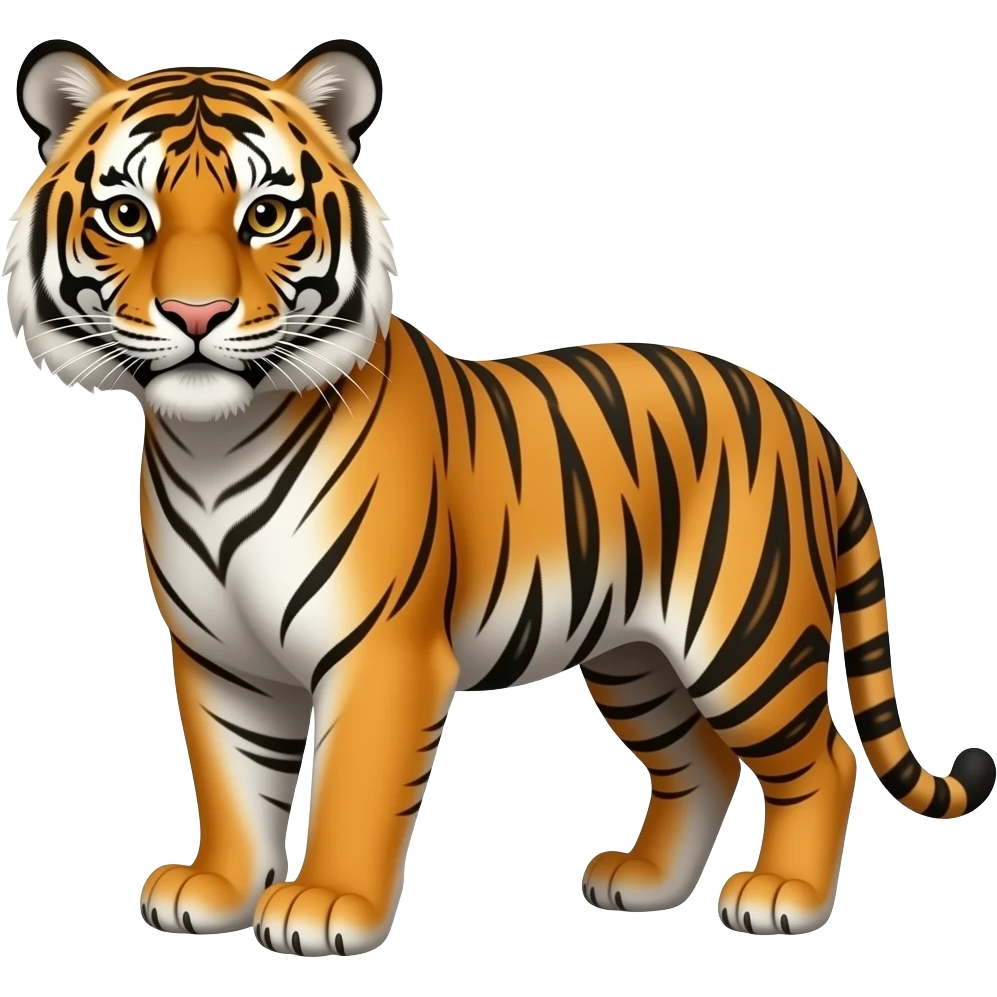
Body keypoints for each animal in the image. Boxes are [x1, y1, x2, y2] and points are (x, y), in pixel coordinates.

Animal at [7, 36, 994, 958]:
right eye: (127, 215)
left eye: (267, 215)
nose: (197, 316)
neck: (212, 440)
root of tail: (803, 416)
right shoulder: (221, 659)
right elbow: (231, 782)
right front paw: (214, 890)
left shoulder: (382, 652)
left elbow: (354, 783)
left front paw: (326, 905)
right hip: (635, 656)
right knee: (699, 761)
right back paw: (643, 880)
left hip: (744, 637)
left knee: (822, 756)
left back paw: (783, 895)